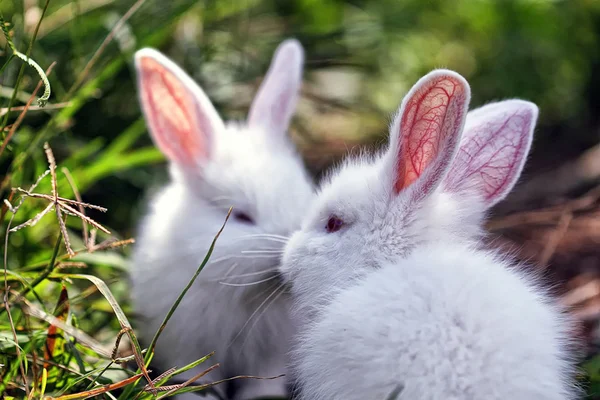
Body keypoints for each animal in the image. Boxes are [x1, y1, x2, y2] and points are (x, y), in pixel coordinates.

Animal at [131, 38, 314, 400]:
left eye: (304, 197)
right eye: (242, 216)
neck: (243, 294)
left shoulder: (269, 358)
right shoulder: (187, 345)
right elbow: (192, 377)